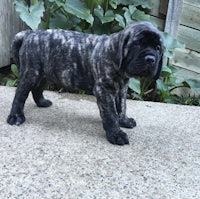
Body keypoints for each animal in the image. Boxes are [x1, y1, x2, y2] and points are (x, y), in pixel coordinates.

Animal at [7, 21, 163, 145]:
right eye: (138, 44)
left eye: (158, 48)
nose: (151, 59)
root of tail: (29, 34)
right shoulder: (104, 90)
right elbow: (111, 113)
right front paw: (116, 134)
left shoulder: (122, 88)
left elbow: (122, 106)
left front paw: (124, 121)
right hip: (31, 73)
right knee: (20, 94)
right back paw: (15, 117)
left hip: (45, 73)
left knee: (37, 88)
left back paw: (42, 102)